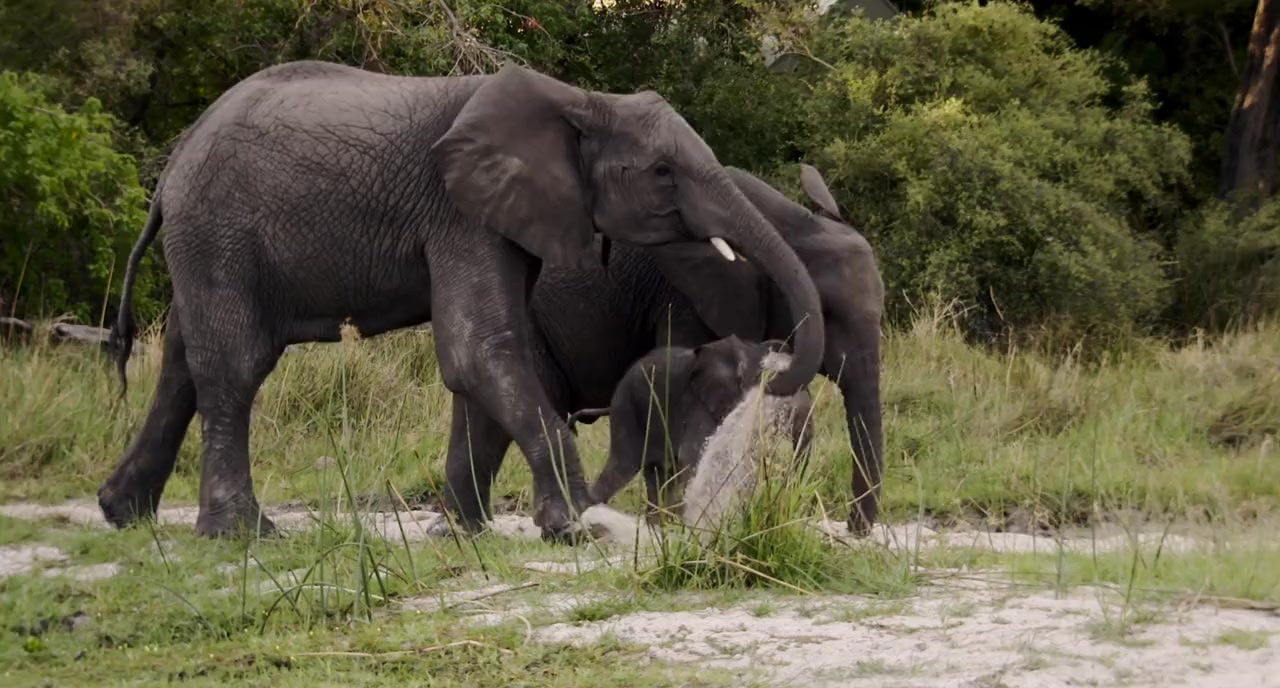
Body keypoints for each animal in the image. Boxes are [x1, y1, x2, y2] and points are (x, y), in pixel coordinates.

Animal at [566, 335, 814, 524]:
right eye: (766, 378)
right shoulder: (697, 404)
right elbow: (693, 454)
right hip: (627, 411)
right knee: (623, 468)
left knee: (658, 477)